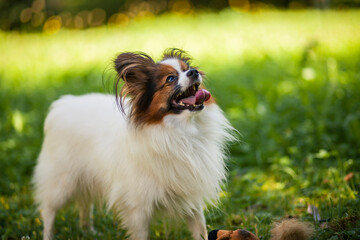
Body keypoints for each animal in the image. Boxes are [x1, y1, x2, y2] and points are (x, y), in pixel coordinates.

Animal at [33, 48, 233, 240]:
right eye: (170, 78)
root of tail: (62, 104)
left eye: (188, 68)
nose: (194, 72)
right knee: (49, 212)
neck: (181, 131)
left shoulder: (191, 195)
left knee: (85, 204)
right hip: (61, 183)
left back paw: (88, 231)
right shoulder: (138, 207)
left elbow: (200, 229)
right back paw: (49, 235)